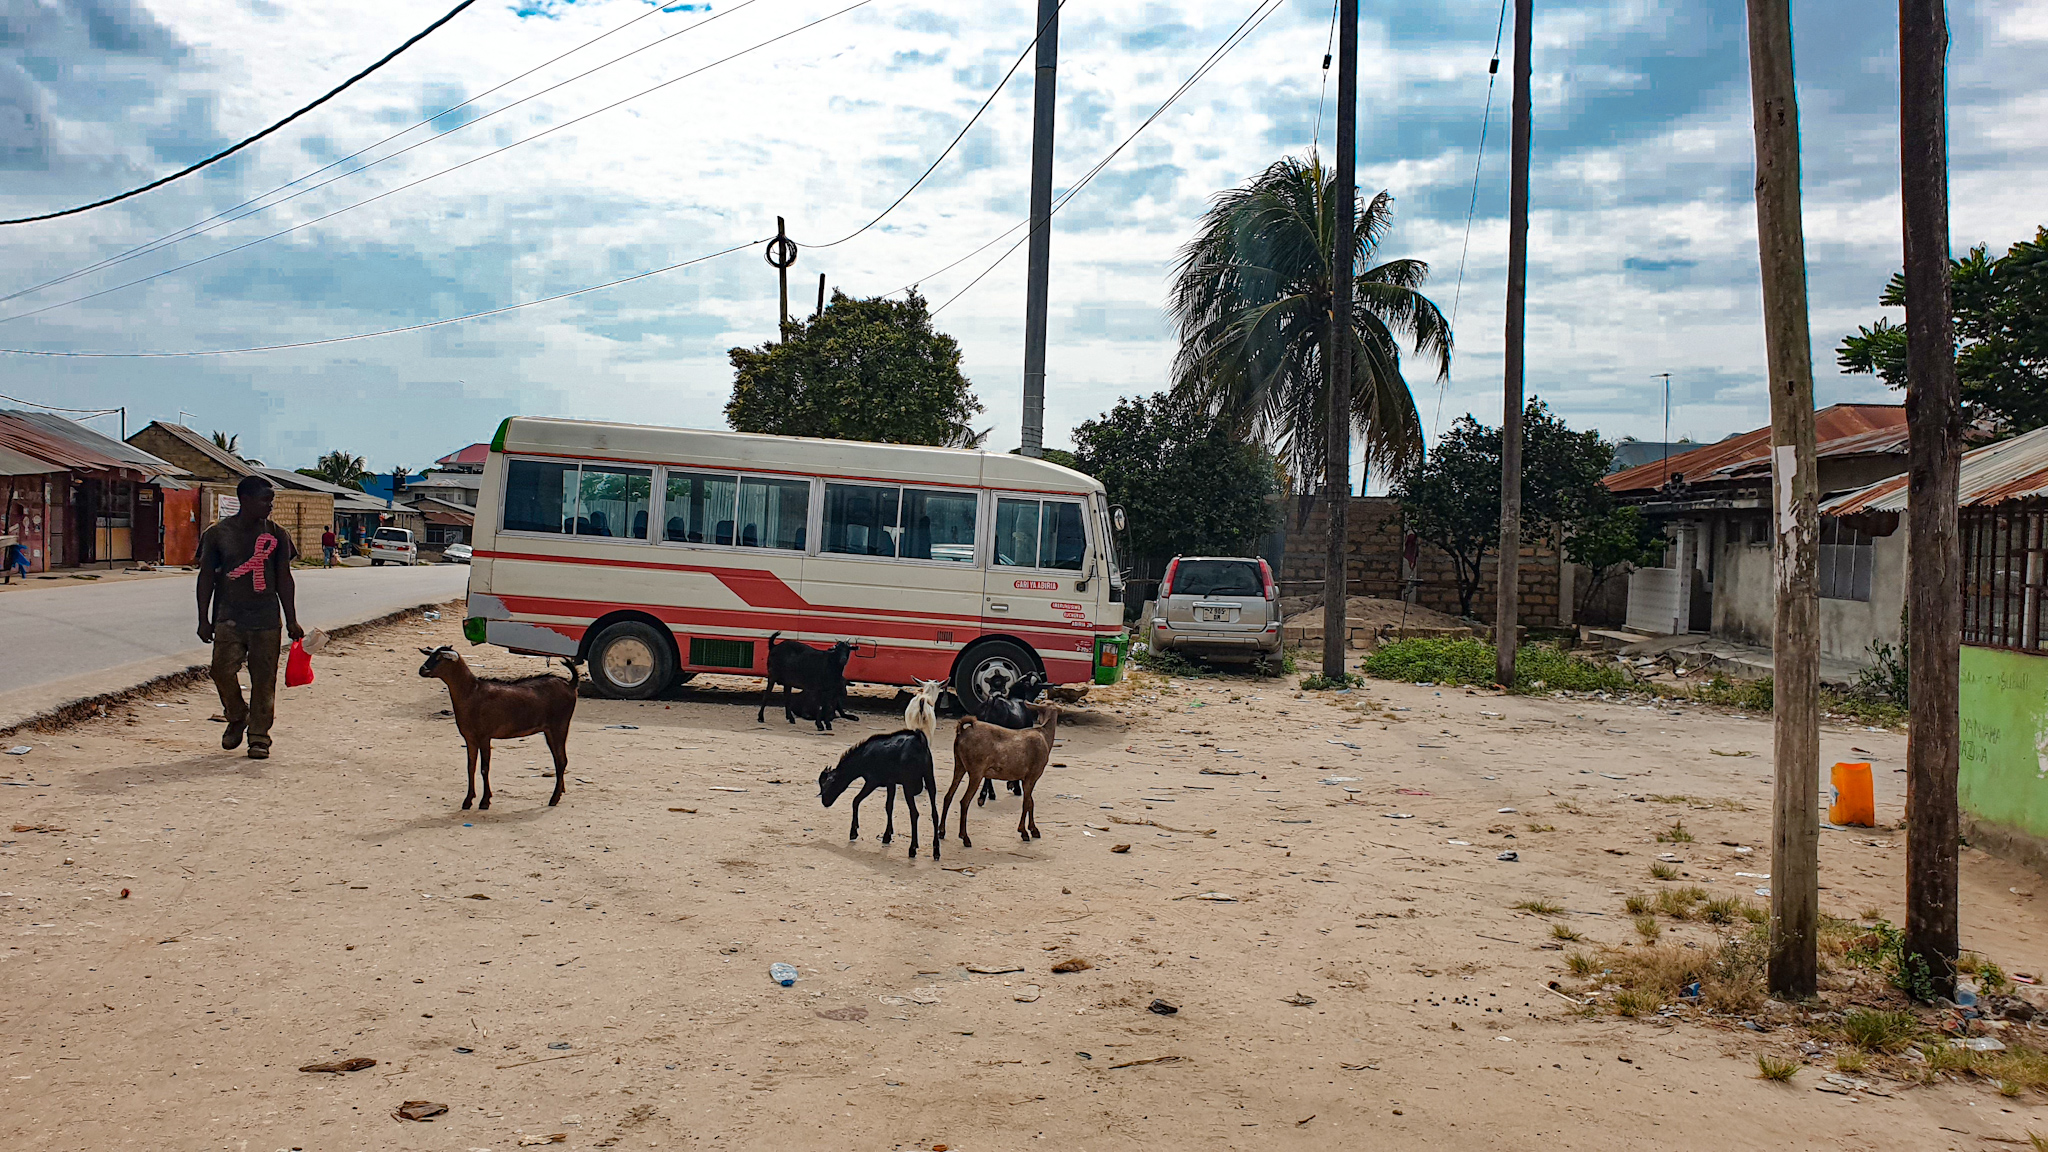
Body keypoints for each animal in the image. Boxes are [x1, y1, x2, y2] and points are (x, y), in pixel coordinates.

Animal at [415, 647, 577, 807]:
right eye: (430, 655)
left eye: (439, 658)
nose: (422, 670)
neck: (472, 692)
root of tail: (570, 684)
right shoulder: (470, 738)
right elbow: (470, 767)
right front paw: (468, 800)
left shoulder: (484, 736)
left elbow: (484, 768)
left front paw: (485, 801)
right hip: (550, 730)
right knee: (558, 760)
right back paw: (560, 791)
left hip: (560, 725)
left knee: (562, 760)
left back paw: (554, 799)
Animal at [937, 688, 1056, 844]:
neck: (1045, 737)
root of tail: (962, 732)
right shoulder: (1032, 775)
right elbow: (1027, 802)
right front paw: (1024, 831)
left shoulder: (1027, 778)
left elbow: (1030, 802)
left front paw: (1033, 829)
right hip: (976, 770)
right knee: (964, 801)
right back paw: (965, 837)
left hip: (959, 764)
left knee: (948, 796)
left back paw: (941, 831)